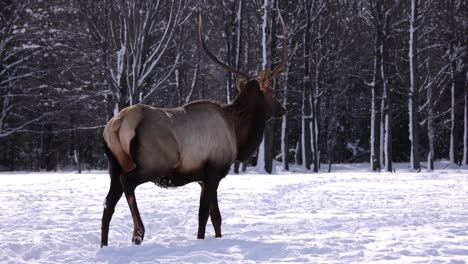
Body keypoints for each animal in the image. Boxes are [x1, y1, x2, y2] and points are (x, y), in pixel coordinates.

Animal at [100, 12, 288, 248]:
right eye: (271, 91)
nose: (282, 109)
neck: (237, 132)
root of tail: (118, 123)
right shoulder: (214, 170)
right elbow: (204, 216)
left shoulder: (203, 178)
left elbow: (216, 217)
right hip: (153, 164)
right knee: (128, 183)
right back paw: (138, 233)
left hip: (113, 166)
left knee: (108, 203)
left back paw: (104, 245)